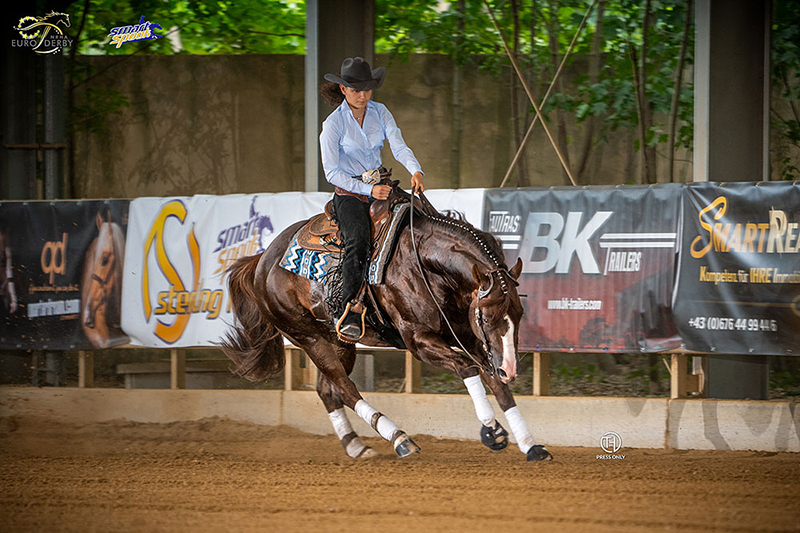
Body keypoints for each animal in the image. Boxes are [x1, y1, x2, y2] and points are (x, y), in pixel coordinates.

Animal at [222, 193, 552, 460]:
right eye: (486, 317)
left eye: (519, 313)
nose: (511, 367)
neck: (427, 263)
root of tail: (262, 261)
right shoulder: (419, 340)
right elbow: (467, 368)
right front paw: (491, 430)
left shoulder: (469, 339)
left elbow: (497, 384)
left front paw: (531, 445)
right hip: (307, 336)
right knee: (345, 388)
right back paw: (399, 438)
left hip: (338, 341)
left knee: (328, 389)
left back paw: (356, 446)